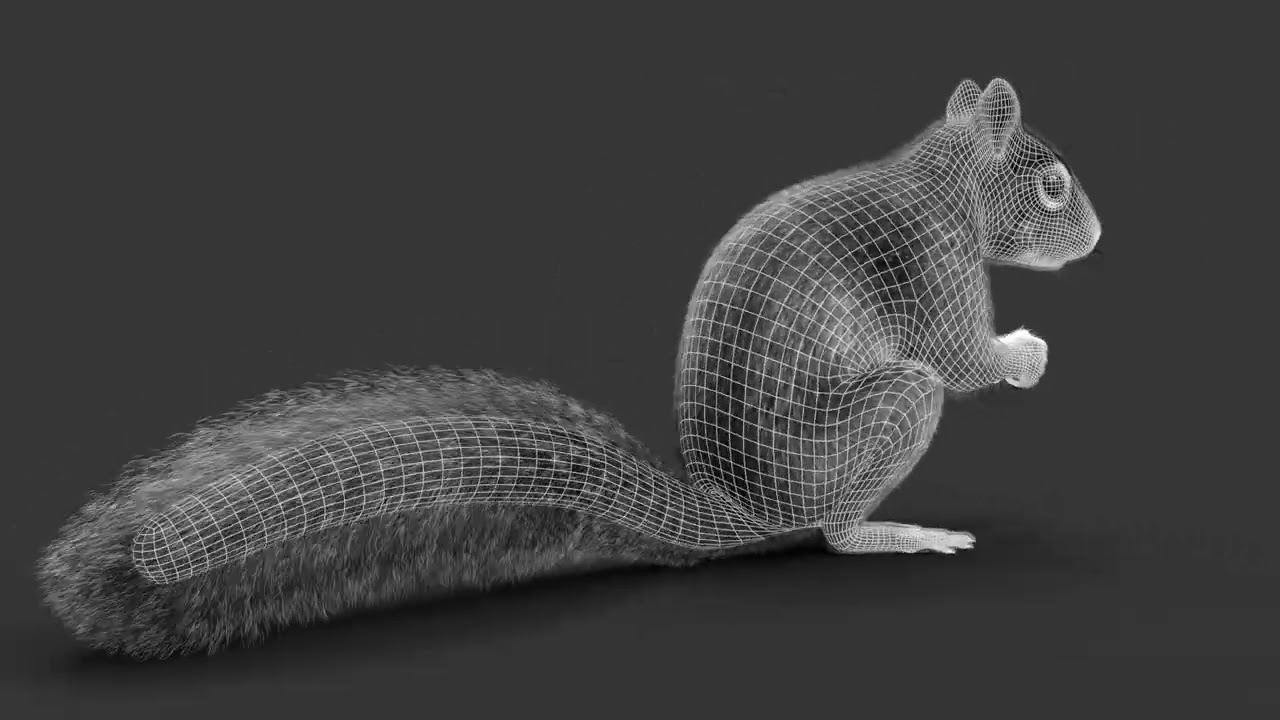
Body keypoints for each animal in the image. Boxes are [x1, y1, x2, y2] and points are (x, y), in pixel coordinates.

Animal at [38, 77, 1102, 660]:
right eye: (1053, 187)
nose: (1098, 237)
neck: (944, 176)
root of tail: (742, 511)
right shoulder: (933, 261)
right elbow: (961, 359)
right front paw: (1027, 353)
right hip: (879, 422)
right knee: (840, 526)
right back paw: (897, 532)